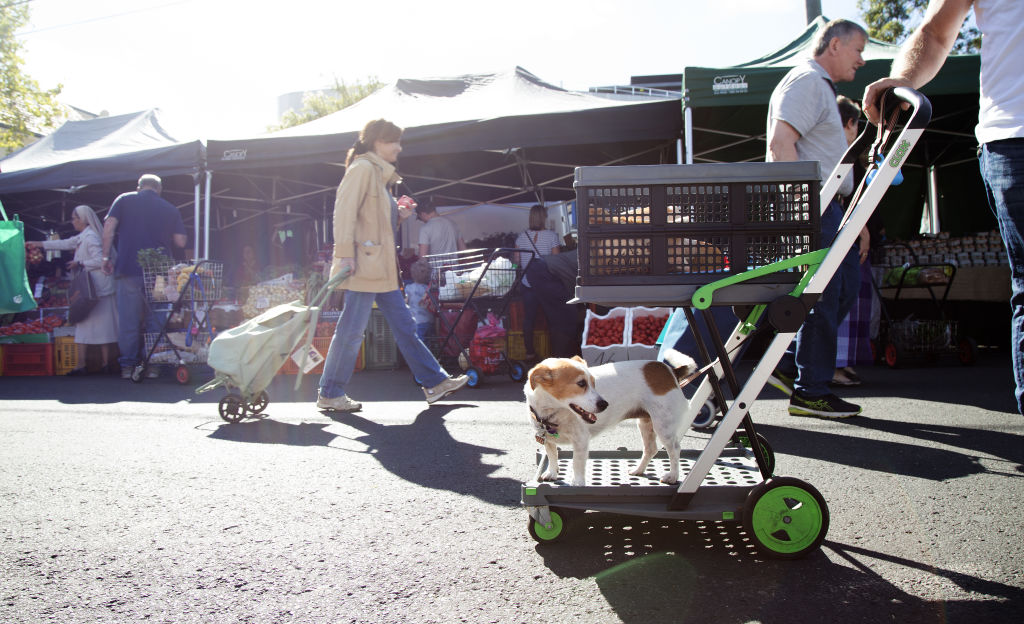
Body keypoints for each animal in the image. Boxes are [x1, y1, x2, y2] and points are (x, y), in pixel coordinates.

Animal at [524, 350, 700, 487]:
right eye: (581, 383)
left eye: (594, 383)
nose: (604, 404)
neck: (554, 412)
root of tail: (671, 371)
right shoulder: (548, 440)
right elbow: (552, 455)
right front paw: (552, 473)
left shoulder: (581, 441)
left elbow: (577, 464)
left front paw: (578, 482)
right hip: (646, 424)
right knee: (651, 449)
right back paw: (638, 470)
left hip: (664, 427)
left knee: (674, 450)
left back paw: (673, 476)